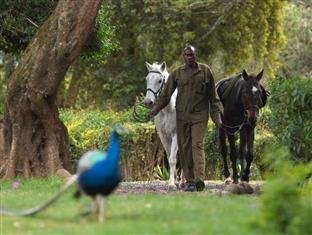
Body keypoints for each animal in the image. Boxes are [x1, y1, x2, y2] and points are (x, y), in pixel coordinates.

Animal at [143, 61, 179, 190]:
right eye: (147, 79)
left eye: (159, 80)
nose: (148, 102)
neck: (167, 109)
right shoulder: (163, 136)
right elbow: (169, 157)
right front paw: (174, 181)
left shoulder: (175, 134)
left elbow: (172, 159)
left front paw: (172, 184)